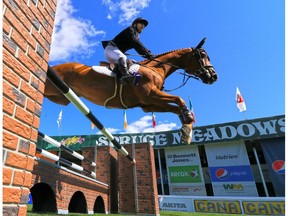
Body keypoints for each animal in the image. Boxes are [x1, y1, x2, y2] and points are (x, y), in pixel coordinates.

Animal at [44, 38, 217, 144]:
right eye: (202, 55)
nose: (213, 76)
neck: (155, 68)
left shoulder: (148, 104)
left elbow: (175, 108)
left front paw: (186, 129)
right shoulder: (151, 95)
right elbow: (178, 99)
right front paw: (188, 118)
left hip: (60, 96)